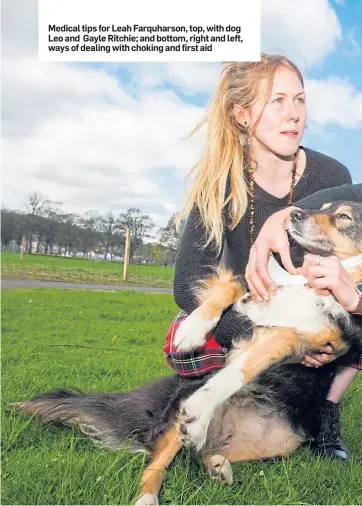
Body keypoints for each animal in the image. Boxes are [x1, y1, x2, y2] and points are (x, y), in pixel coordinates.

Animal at [9, 202, 360, 506]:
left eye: (344, 216)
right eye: (324, 207)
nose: (294, 213)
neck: (311, 281)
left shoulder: (303, 336)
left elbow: (241, 369)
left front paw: (201, 410)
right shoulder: (255, 284)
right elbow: (229, 288)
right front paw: (193, 329)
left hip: (281, 441)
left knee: (198, 452)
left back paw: (215, 464)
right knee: (157, 464)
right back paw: (150, 495)